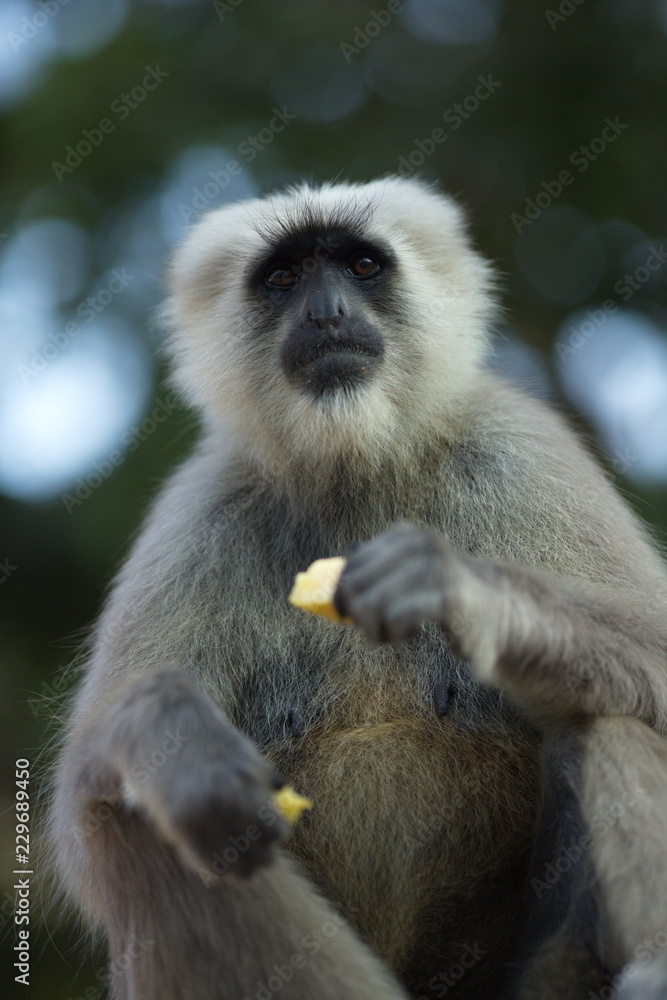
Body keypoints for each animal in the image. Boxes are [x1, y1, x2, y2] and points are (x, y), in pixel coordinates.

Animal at [48, 176, 667, 1000]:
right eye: (284, 278)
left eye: (362, 265)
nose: (327, 314)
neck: (359, 469)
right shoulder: (201, 511)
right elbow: (84, 824)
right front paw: (170, 734)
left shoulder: (520, 451)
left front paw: (461, 588)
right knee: (146, 825)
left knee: (606, 713)